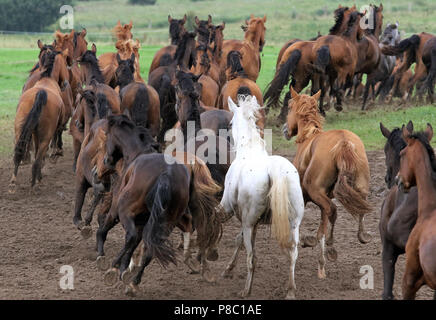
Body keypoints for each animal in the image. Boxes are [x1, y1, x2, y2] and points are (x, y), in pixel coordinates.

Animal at [9, 48, 71, 191]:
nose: (65, 83)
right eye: (65, 64)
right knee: (37, 161)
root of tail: (40, 93)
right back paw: (36, 183)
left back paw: (13, 182)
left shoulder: (34, 133)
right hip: (45, 136)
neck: (47, 80)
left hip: (20, 130)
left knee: (18, 155)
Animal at [220, 95, 304, 300]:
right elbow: (239, 240)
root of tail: (274, 169)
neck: (249, 150)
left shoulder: (231, 212)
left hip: (248, 222)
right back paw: (290, 290)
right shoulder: (254, 223)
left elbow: (239, 241)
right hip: (294, 223)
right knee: (293, 253)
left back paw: (246, 290)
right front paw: (229, 268)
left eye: (230, 123)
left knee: (251, 258)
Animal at [282, 87, 372, 278]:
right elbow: (323, 223)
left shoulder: (306, 195)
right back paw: (359, 236)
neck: (309, 136)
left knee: (333, 210)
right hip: (360, 186)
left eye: (290, 106)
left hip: (316, 192)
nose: (285, 129)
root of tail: (343, 142)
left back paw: (326, 247)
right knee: (359, 206)